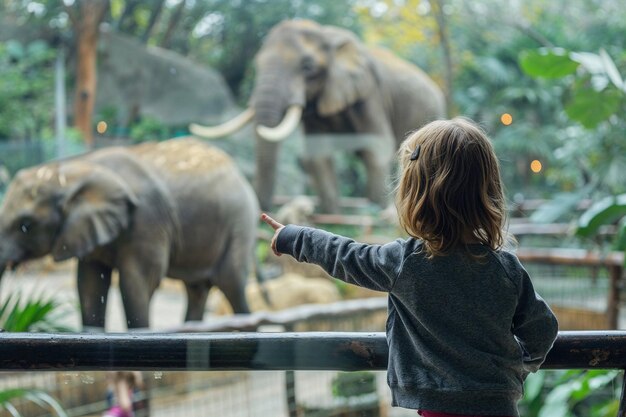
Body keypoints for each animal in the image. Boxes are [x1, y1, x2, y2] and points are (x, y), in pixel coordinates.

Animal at [0, 138, 258, 330]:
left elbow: (136, 282)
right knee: (197, 289)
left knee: (231, 281)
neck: (74, 169)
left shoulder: (147, 219)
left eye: (25, 225)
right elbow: (89, 284)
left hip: (240, 220)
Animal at [189, 17, 444, 213]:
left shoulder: (369, 93)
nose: (263, 211)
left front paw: (377, 215)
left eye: (307, 67)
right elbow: (317, 155)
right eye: (257, 64)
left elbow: (375, 147)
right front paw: (331, 215)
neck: (325, 36)